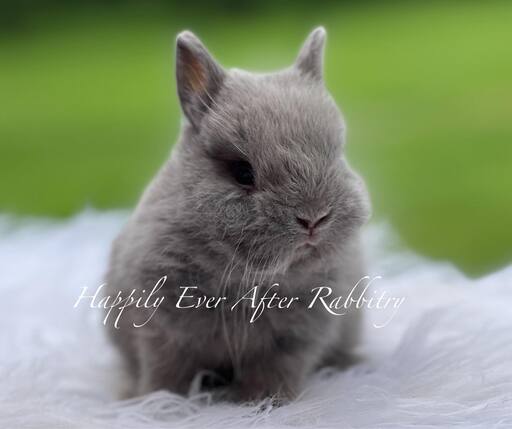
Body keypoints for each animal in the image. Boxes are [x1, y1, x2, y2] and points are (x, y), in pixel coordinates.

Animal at [105, 25, 368, 402]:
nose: (313, 218)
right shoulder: (163, 334)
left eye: (336, 154)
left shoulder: (294, 341)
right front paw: (163, 402)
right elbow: (167, 374)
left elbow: (274, 373)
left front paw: (262, 402)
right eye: (242, 172)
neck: (249, 280)